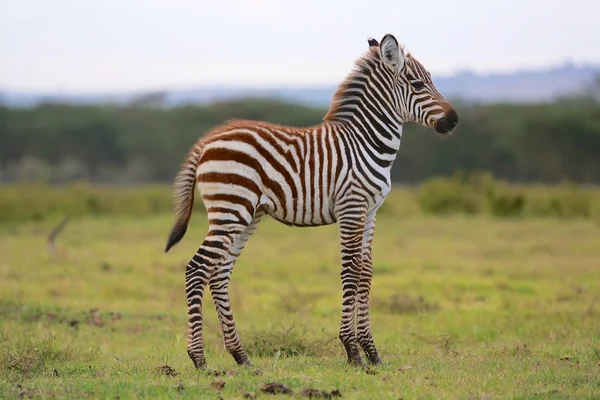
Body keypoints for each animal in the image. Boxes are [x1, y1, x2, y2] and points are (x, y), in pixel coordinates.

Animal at [164, 34, 460, 368]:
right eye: (418, 84)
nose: (454, 120)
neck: (365, 144)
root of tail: (207, 140)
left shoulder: (370, 212)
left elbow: (366, 272)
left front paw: (372, 353)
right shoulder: (351, 207)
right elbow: (351, 270)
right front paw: (352, 351)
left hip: (247, 215)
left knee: (219, 274)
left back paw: (241, 357)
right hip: (231, 209)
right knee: (197, 269)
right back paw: (199, 358)